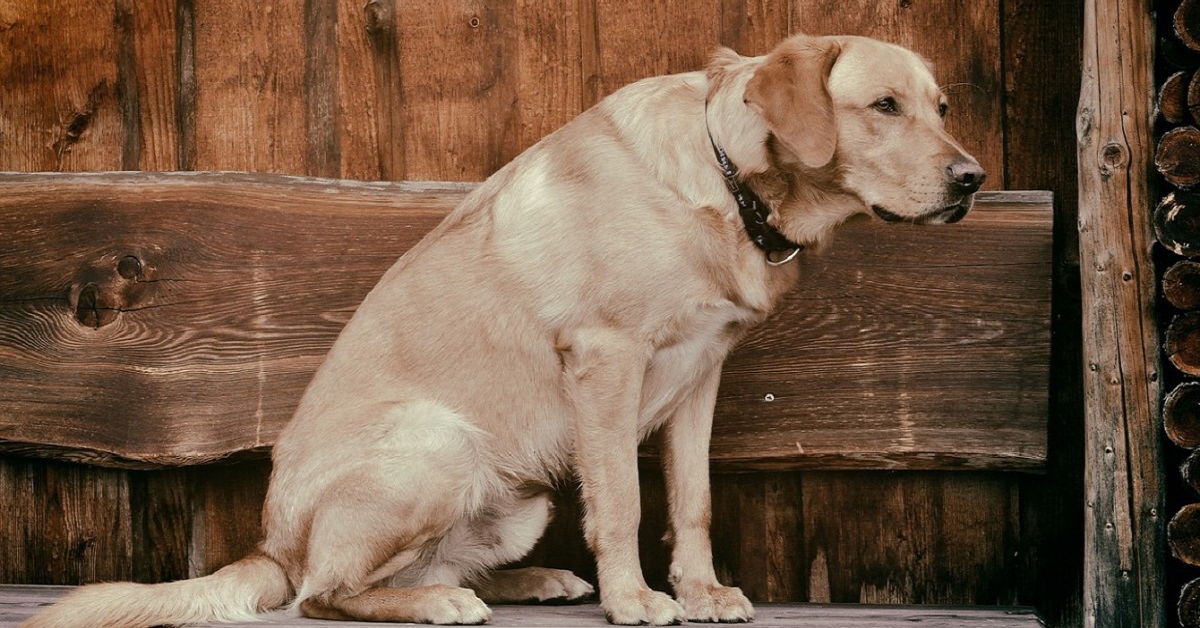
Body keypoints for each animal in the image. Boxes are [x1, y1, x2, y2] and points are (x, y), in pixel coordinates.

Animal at [23, 33, 984, 628]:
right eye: (884, 106)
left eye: (940, 106)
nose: (973, 179)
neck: (727, 177)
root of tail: (270, 542)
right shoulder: (607, 359)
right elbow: (624, 503)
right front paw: (636, 601)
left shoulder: (700, 376)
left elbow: (692, 501)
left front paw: (701, 589)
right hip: (438, 442)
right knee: (325, 594)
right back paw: (437, 604)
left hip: (517, 496)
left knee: (425, 566)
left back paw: (527, 579)